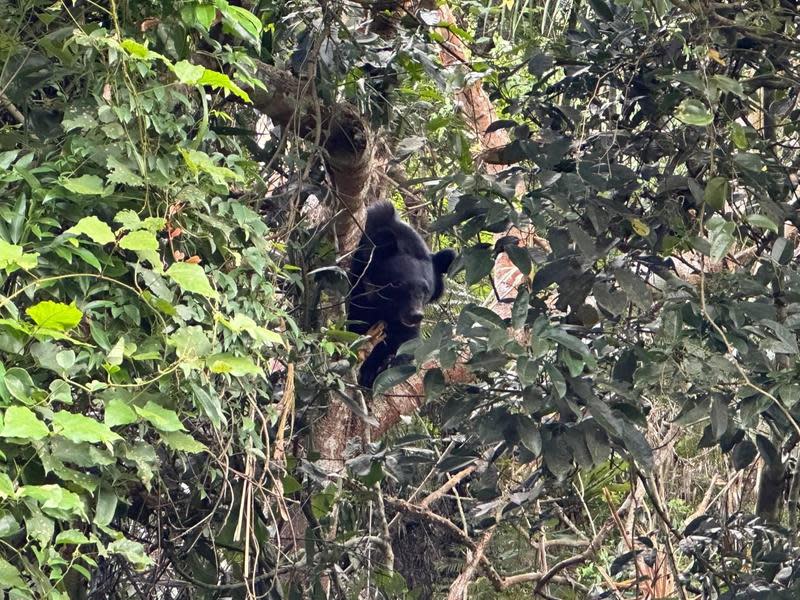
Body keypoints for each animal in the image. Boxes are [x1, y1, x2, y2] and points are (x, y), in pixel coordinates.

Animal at [346, 202, 454, 390]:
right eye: (397, 284)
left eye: (426, 290)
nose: (415, 315)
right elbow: (355, 322)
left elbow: (407, 339)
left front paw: (383, 364)